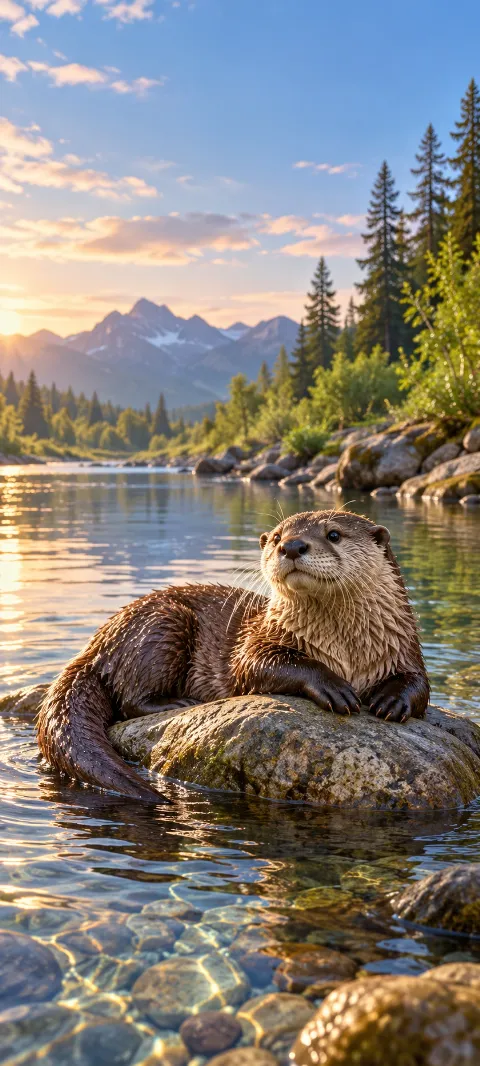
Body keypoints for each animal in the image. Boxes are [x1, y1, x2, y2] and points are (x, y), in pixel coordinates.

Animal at [37, 510, 429, 802]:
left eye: (333, 534)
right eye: (276, 537)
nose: (292, 546)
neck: (345, 650)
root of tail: (96, 642)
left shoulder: (404, 645)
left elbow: (421, 684)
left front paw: (391, 700)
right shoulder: (257, 639)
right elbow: (258, 665)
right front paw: (334, 687)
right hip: (162, 625)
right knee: (130, 697)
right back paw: (177, 703)